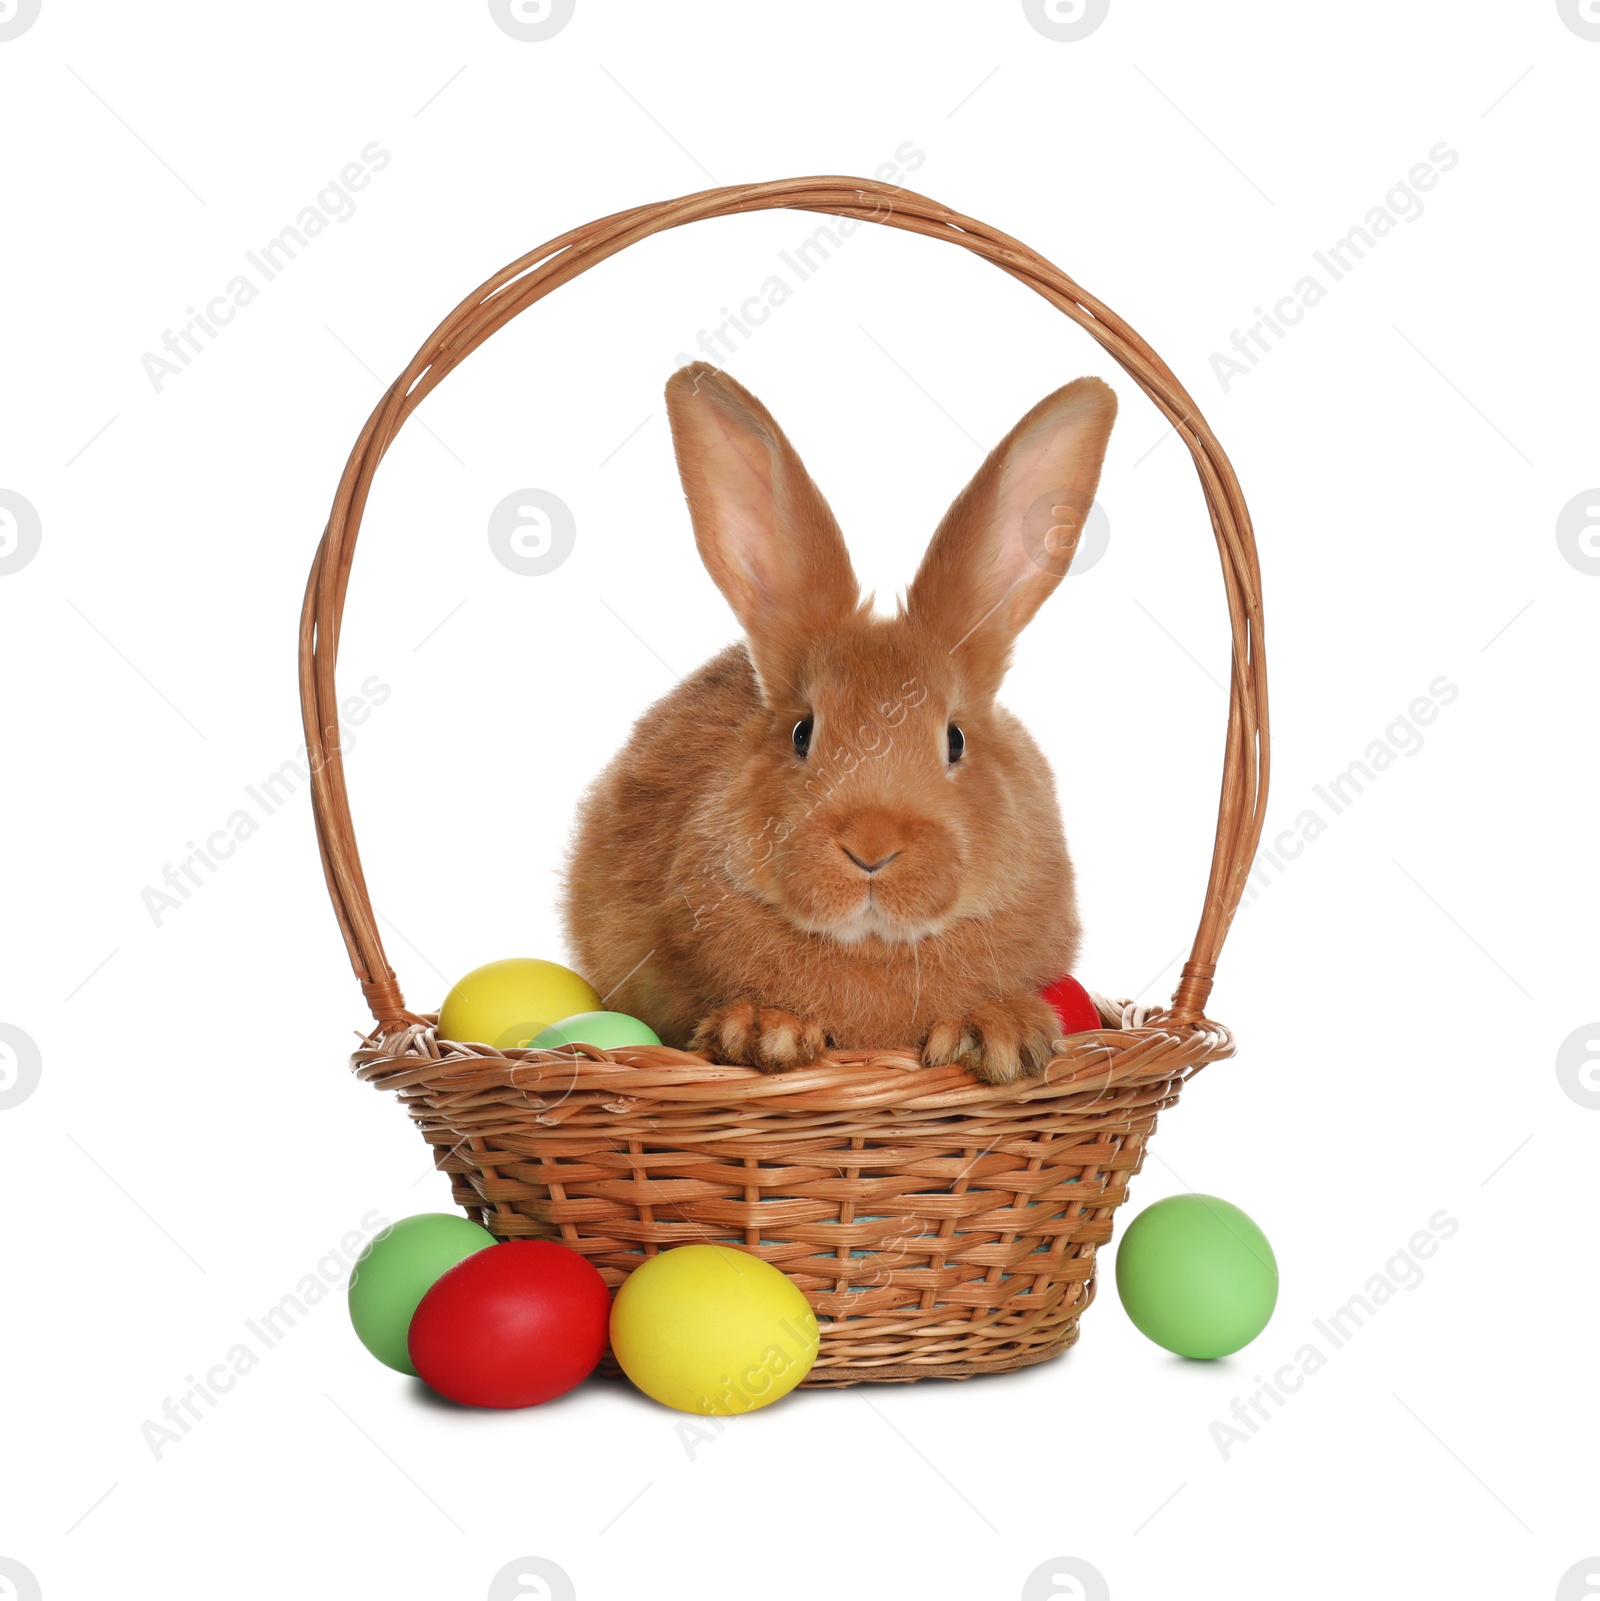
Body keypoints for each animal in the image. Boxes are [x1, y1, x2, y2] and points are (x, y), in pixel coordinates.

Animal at [560, 365, 1114, 1088]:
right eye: (803, 732)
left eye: (955, 738)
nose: (871, 848)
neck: (874, 947)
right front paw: (764, 1031)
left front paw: (1001, 1033)